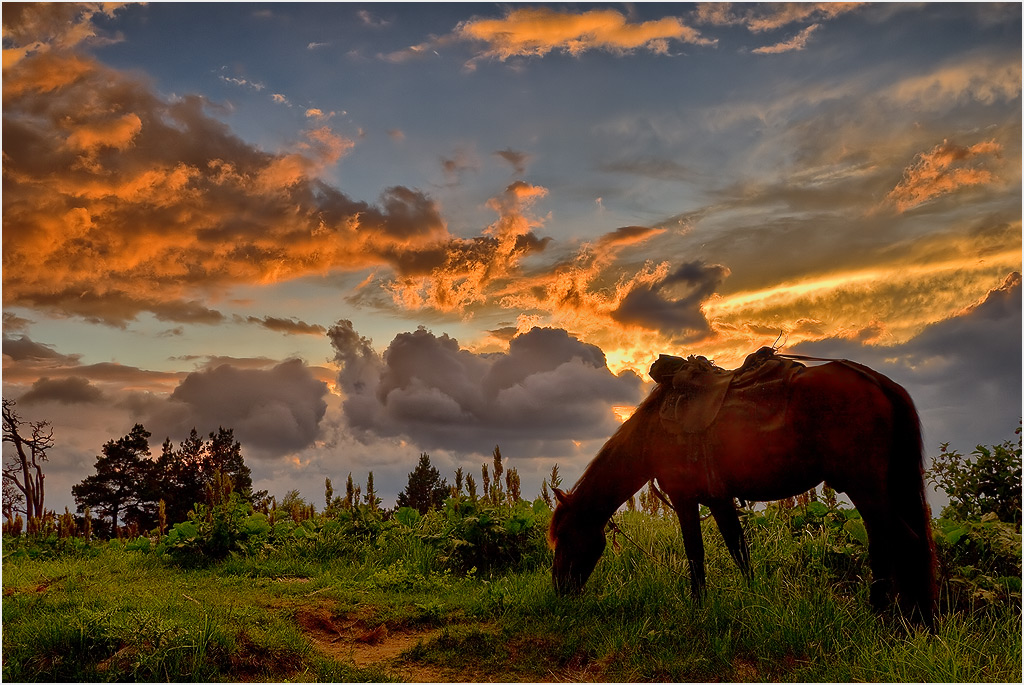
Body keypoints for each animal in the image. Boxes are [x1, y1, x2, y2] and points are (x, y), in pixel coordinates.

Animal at [552, 352, 937, 626]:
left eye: (567, 536)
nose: (559, 590)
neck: (653, 434)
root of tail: (876, 380)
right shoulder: (718, 499)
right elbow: (739, 551)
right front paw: (754, 598)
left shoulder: (684, 498)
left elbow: (696, 555)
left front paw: (698, 608)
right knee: (885, 542)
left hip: (865, 487)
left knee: (901, 541)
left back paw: (898, 619)